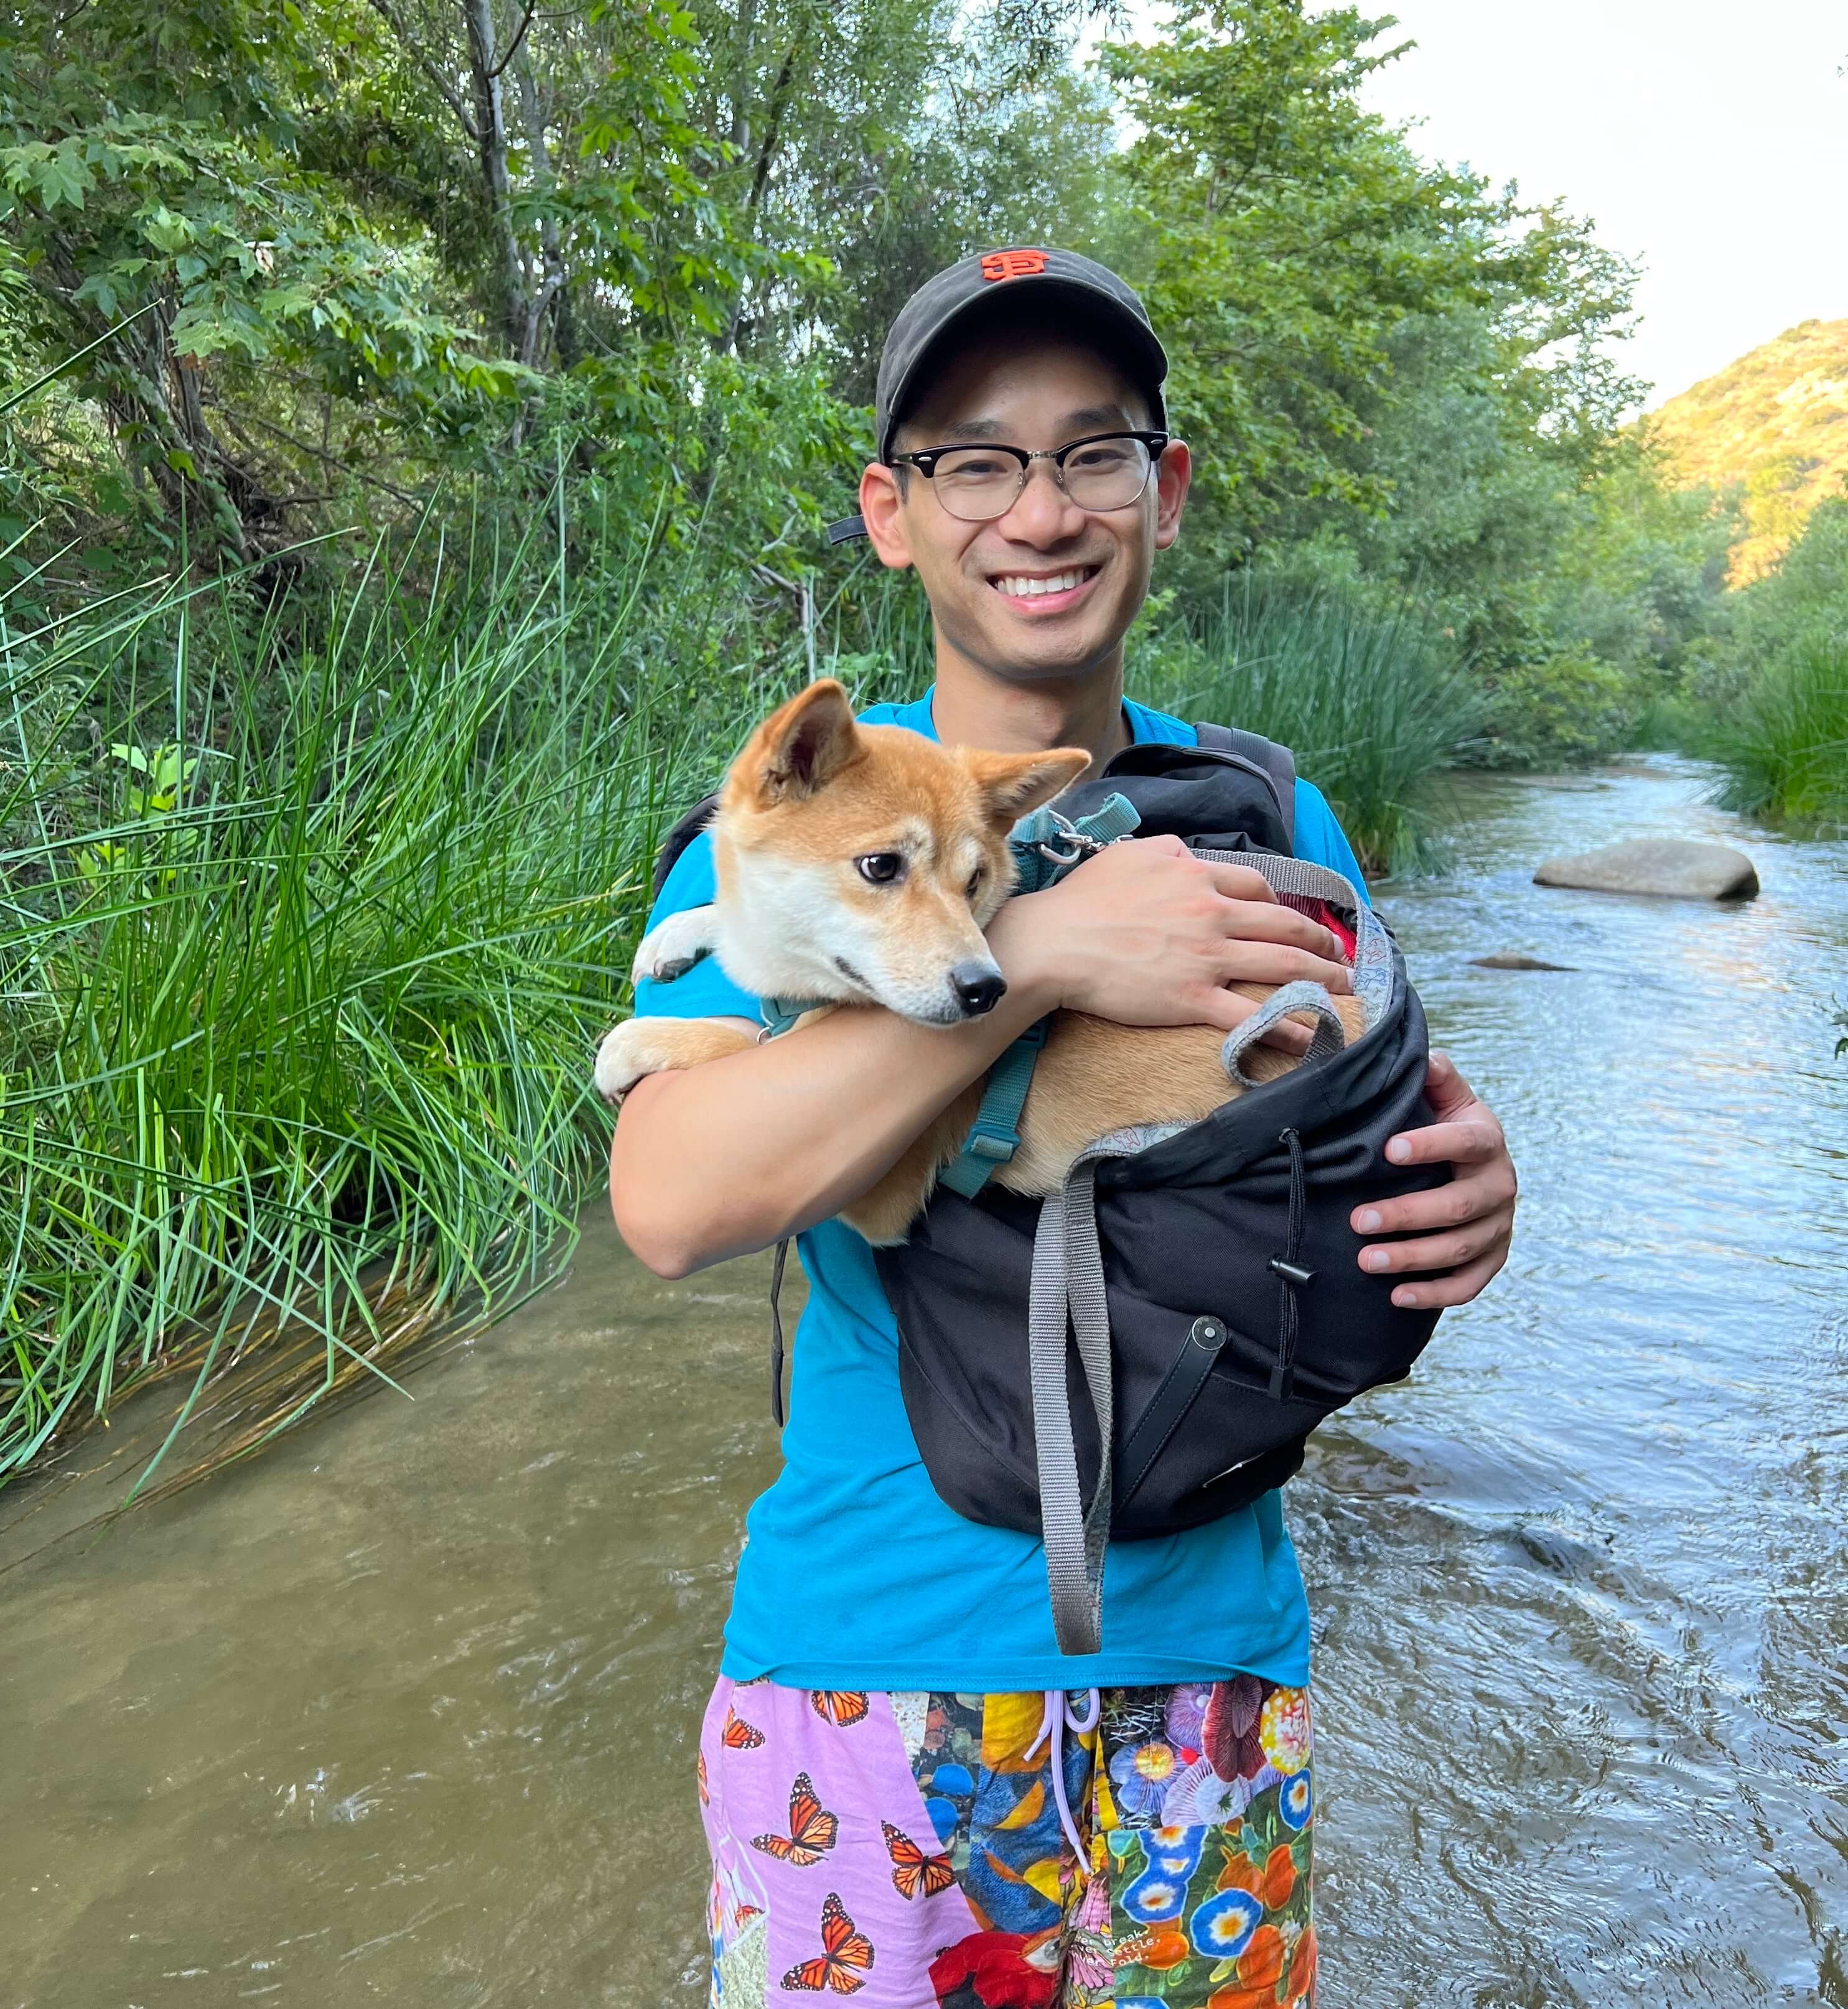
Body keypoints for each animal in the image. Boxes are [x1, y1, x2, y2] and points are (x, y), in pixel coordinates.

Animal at [599, 679, 1366, 1238]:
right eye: (881, 866)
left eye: (974, 882)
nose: (986, 989)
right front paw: (680, 934)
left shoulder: (880, 1194)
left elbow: (744, 1041)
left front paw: (641, 1040)